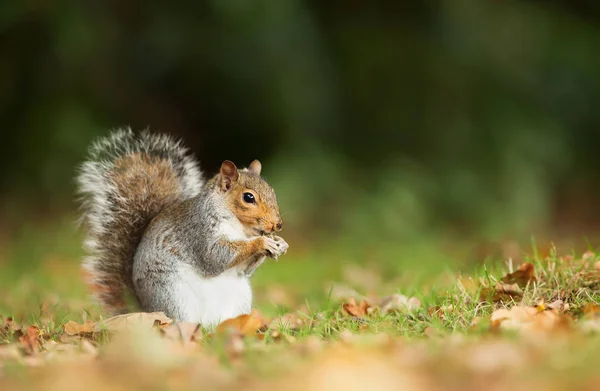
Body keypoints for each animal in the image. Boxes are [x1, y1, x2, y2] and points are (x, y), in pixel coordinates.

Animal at [76, 129, 290, 328]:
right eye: (248, 197)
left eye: (272, 192)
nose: (278, 224)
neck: (239, 227)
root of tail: (145, 309)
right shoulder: (198, 232)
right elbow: (215, 256)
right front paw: (262, 242)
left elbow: (244, 269)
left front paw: (280, 244)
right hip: (173, 294)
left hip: (239, 298)